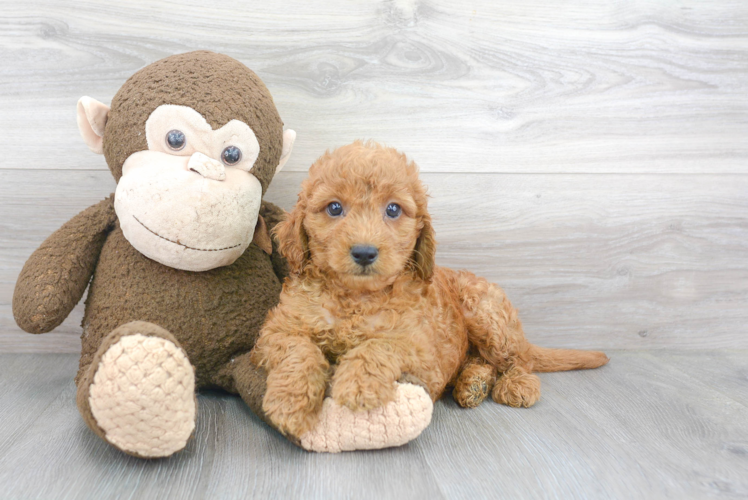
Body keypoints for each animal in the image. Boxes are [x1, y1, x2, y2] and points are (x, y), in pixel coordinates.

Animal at [251, 141, 608, 438]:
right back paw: (473, 384)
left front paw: (358, 384)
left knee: (516, 359)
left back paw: (517, 384)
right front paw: (289, 401)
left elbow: (381, 344)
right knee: (482, 361)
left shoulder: (425, 351)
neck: (355, 297)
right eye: (334, 208)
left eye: (393, 209)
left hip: (487, 311)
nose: (365, 252)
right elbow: (299, 350)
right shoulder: (277, 329)